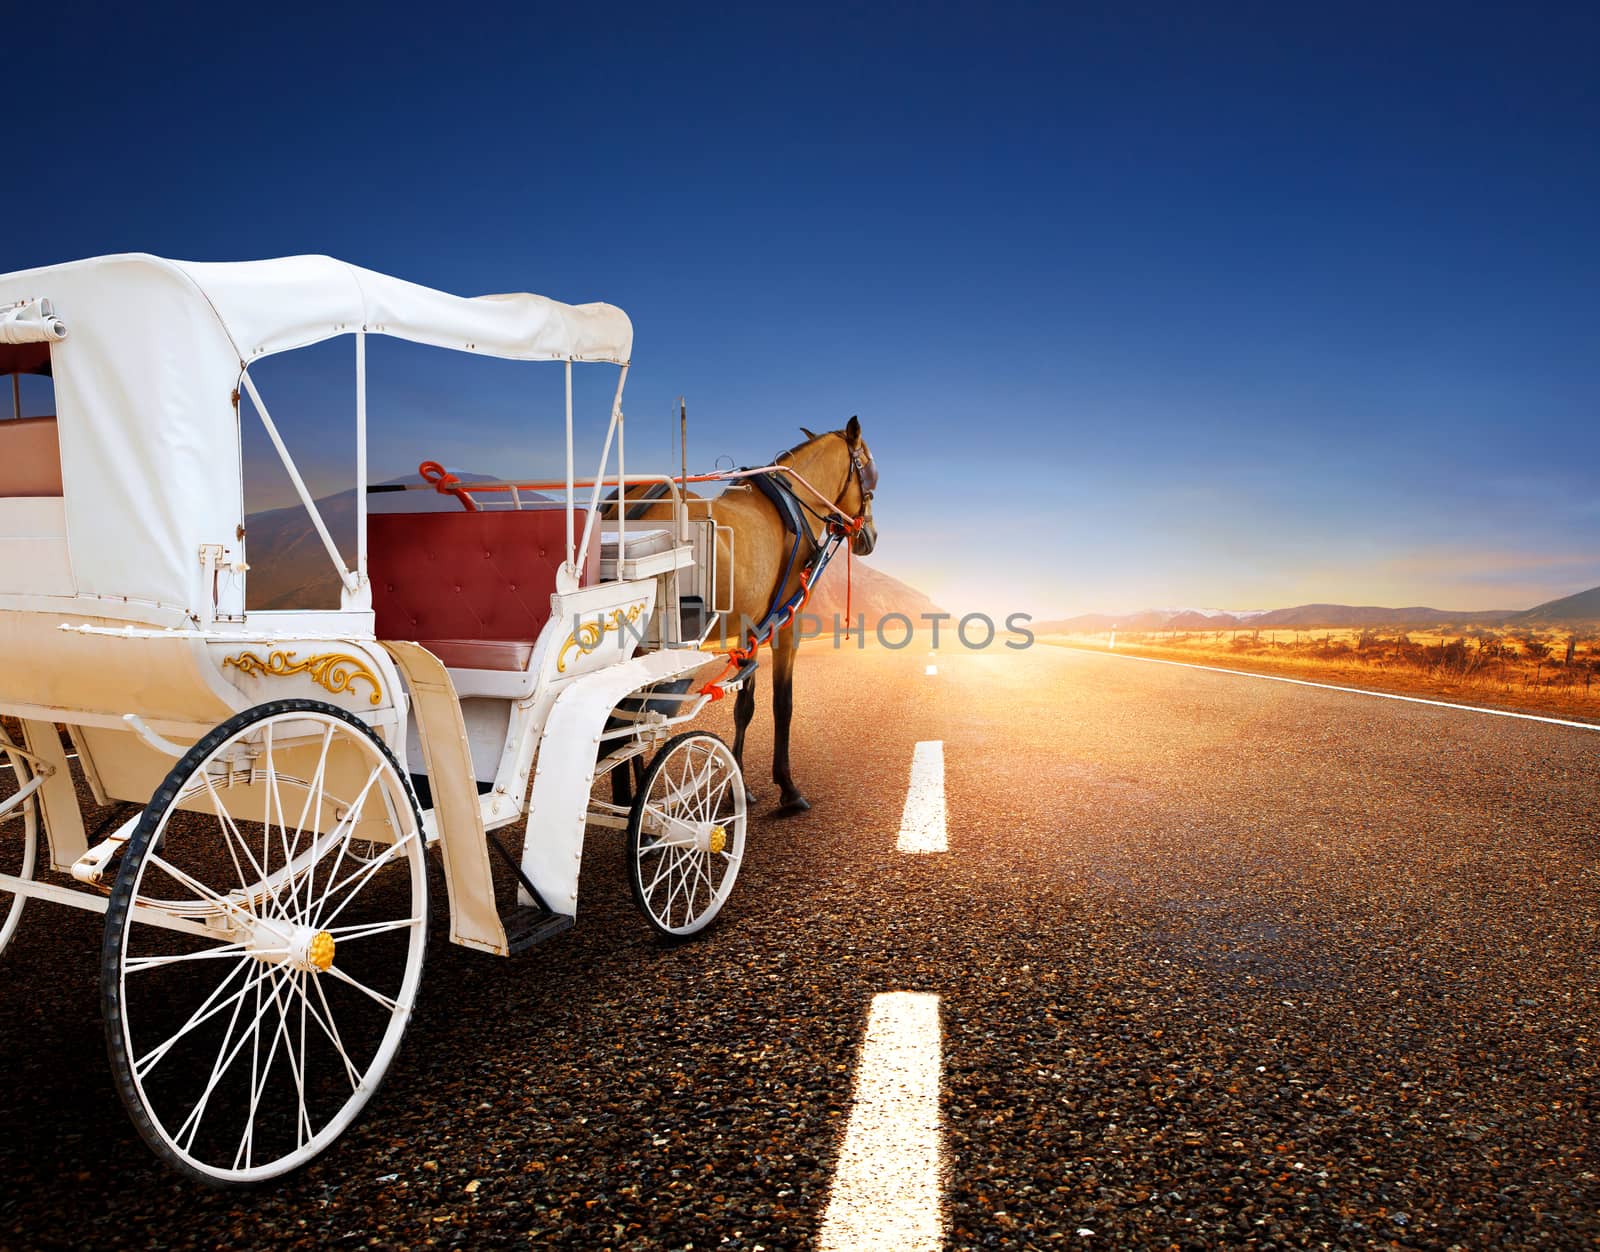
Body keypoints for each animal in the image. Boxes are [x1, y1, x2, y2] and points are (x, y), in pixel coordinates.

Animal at [604, 416, 876, 819]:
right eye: (870, 470)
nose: (869, 537)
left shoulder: (751, 630)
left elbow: (743, 707)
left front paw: (741, 787)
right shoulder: (786, 626)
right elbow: (783, 704)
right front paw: (788, 789)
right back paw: (630, 803)